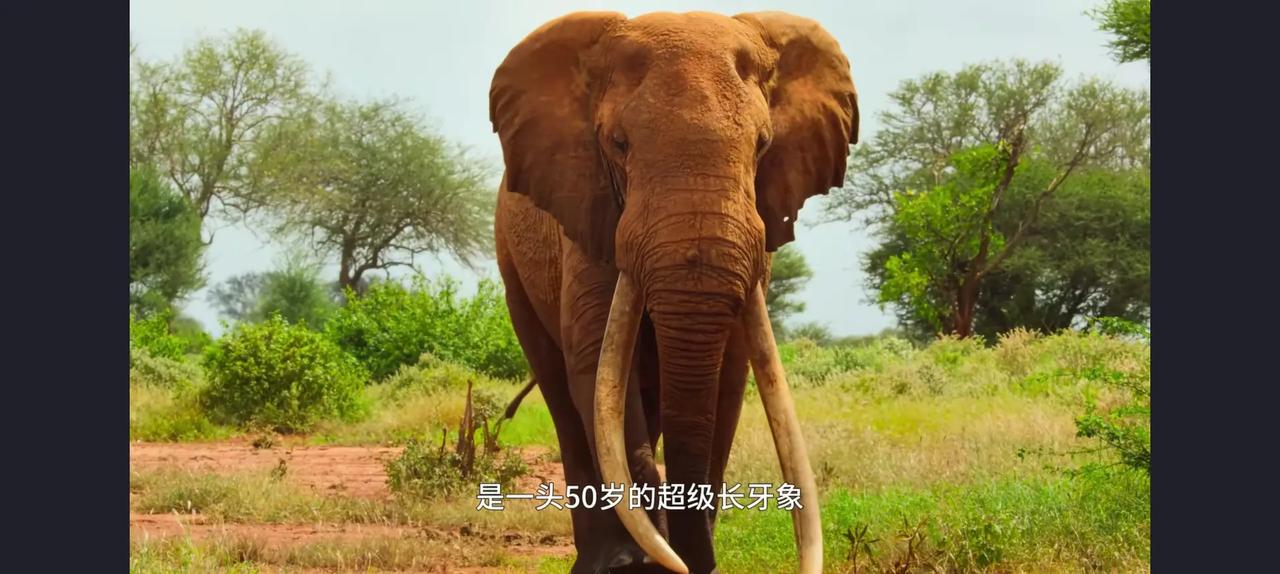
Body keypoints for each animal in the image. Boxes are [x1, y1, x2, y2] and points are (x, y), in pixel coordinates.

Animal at [490, 11, 858, 574]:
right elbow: (596, 367)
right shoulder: (590, 216)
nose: (693, 561)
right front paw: (642, 562)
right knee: (560, 389)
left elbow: (729, 374)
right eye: (618, 144)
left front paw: (688, 558)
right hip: (512, 264)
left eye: (763, 146)